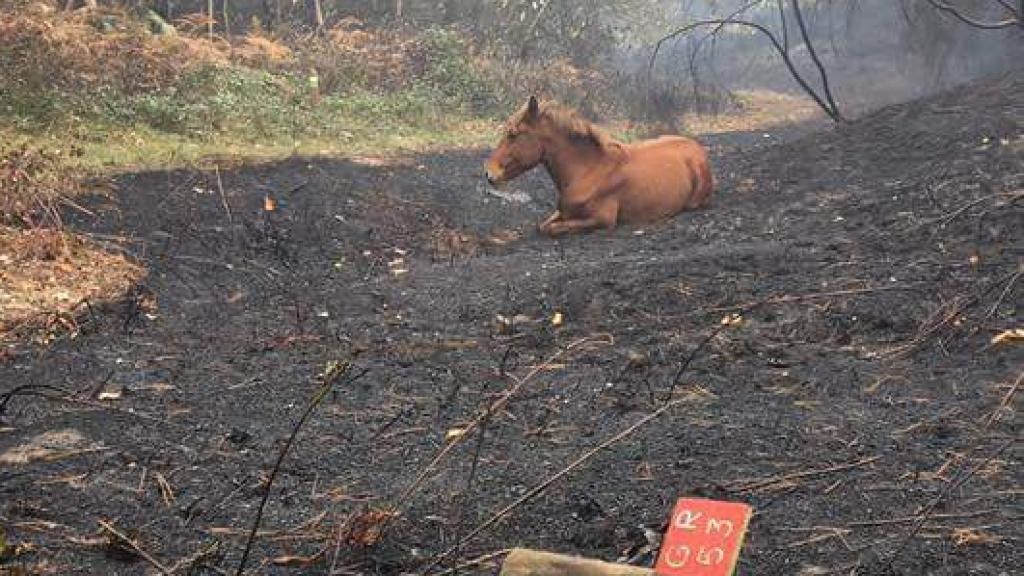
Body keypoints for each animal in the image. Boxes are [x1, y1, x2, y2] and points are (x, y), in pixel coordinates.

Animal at [484, 96, 714, 237]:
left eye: (513, 134)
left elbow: (552, 229)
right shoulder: (562, 212)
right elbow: (543, 226)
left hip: (694, 200)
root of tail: (697, 147)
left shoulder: (602, 219)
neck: (589, 170)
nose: (489, 173)